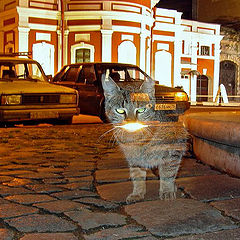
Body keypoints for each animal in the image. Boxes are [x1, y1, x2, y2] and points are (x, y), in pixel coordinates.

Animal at [100, 74, 187, 203]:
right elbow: (137, 176)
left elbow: (167, 173)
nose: (131, 122)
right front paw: (137, 193)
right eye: (120, 111)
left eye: (141, 110)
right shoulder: (134, 158)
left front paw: (167, 191)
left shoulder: (172, 151)